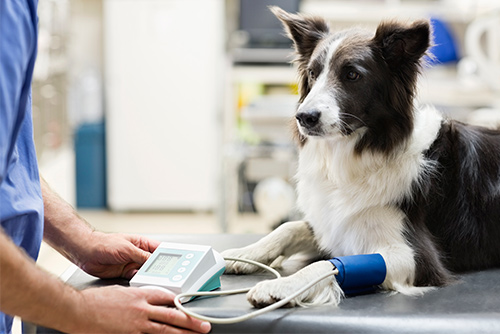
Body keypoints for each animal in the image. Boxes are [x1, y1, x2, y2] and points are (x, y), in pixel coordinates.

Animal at [223, 6, 500, 308]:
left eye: (352, 75)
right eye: (312, 73)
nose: (304, 117)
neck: (360, 152)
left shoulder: (416, 257)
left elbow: (325, 265)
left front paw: (284, 285)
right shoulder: (334, 224)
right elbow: (289, 227)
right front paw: (244, 253)